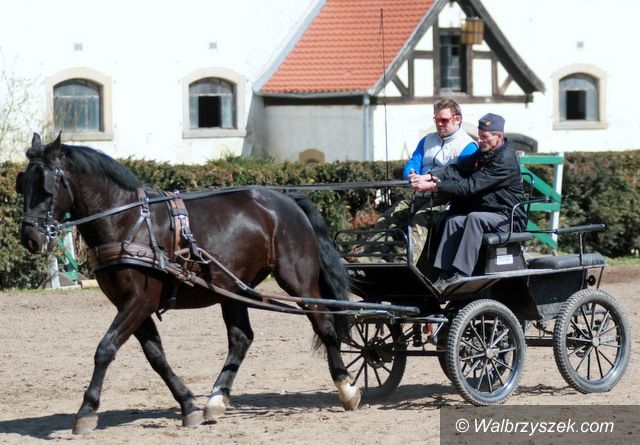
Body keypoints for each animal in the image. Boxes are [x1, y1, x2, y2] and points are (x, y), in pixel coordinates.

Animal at [15, 133, 361, 434]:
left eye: (46, 184)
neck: (127, 223)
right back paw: (216, 400)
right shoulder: (132, 304)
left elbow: (106, 348)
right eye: (22, 184)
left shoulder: (139, 301)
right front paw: (189, 405)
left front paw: (87, 410)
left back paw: (346, 388)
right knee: (241, 338)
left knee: (324, 326)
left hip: (298, 281)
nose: (29, 237)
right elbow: (156, 356)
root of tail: (285, 198)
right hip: (234, 289)